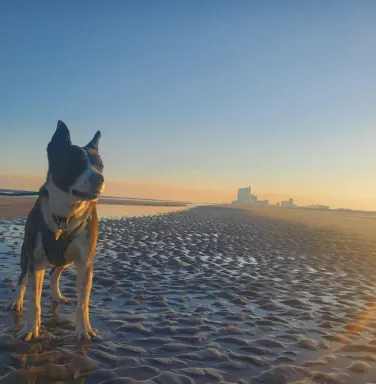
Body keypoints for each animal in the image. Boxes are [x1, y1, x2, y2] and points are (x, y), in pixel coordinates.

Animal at [9, 121, 106, 340]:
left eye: (101, 166)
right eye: (75, 163)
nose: (100, 178)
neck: (65, 215)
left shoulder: (85, 263)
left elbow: (83, 303)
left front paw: (83, 330)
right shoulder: (35, 262)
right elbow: (34, 302)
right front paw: (30, 329)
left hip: (66, 258)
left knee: (55, 272)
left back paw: (57, 296)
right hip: (26, 256)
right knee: (21, 279)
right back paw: (16, 301)